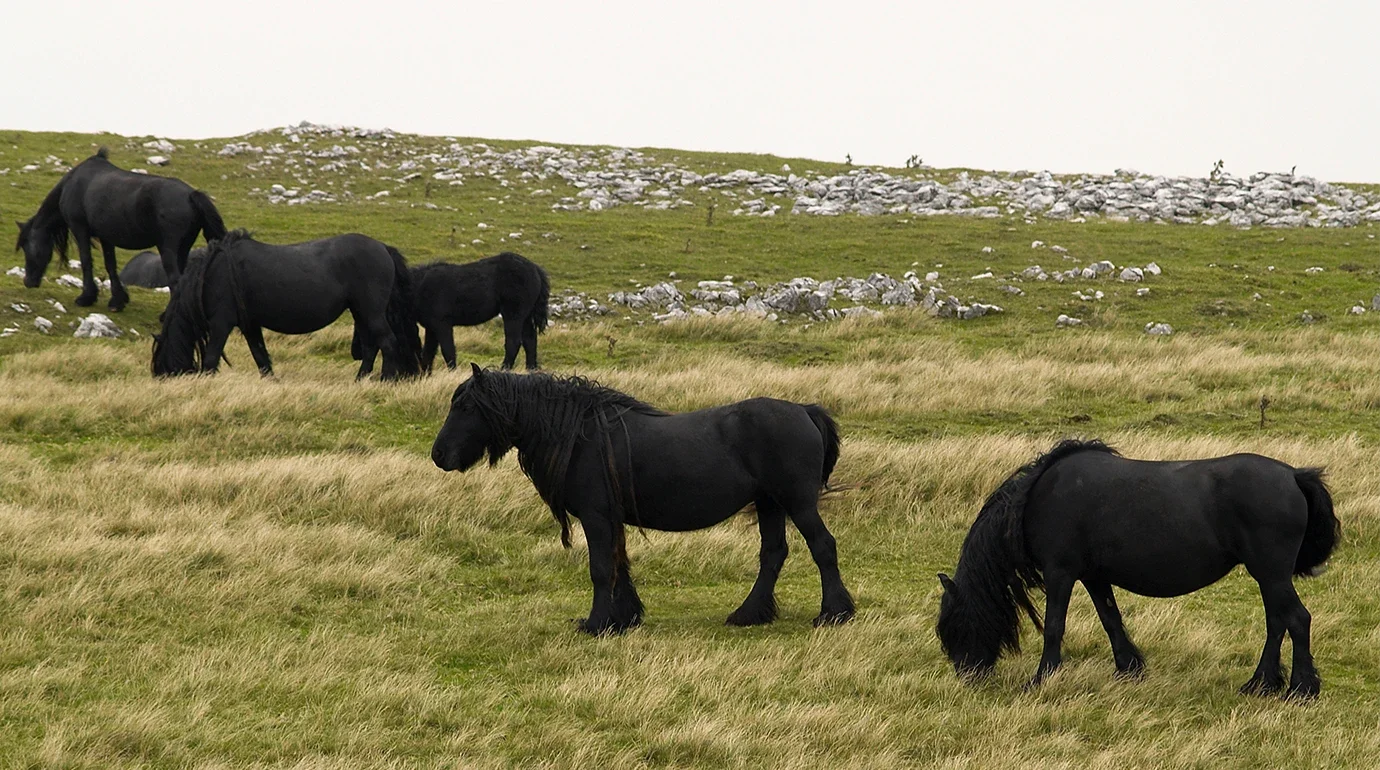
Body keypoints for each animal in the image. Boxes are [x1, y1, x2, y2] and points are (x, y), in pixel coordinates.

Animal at [15, 147, 226, 310]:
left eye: (27, 246)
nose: (28, 282)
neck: (73, 184)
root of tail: (191, 195)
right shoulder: (106, 237)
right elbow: (111, 265)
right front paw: (117, 300)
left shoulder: (80, 229)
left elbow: (86, 260)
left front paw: (86, 297)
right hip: (183, 248)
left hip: (168, 249)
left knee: (174, 280)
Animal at [152, 230, 422, 380]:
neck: (211, 274)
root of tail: (383, 248)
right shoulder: (249, 324)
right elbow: (261, 357)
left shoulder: (221, 323)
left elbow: (211, 359)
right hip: (361, 313)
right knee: (370, 347)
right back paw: (360, 381)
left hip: (371, 312)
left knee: (387, 343)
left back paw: (385, 380)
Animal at [406, 253, 550, 371]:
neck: (420, 288)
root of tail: (535, 269)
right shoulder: (431, 328)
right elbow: (428, 353)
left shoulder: (442, 324)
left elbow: (448, 350)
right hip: (525, 316)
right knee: (530, 340)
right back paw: (531, 369)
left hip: (513, 315)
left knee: (513, 342)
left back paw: (504, 369)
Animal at [431, 365, 855, 635]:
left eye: (466, 407)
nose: (438, 455)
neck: (581, 436)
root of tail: (804, 410)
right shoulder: (610, 518)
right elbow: (620, 565)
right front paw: (624, 618)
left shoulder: (596, 516)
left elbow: (601, 568)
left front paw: (596, 624)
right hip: (769, 504)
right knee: (772, 555)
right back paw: (749, 614)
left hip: (797, 503)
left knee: (823, 547)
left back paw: (834, 614)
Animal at [936, 439, 1339, 699]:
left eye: (955, 624)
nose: (968, 676)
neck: (1038, 496)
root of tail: (1294, 475)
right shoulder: (1093, 576)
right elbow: (1111, 620)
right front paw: (1129, 669)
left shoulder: (1060, 572)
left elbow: (1053, 627)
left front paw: (1041, 679)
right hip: (1269, 577)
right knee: (1277, 623)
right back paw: (1261, 684)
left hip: (1270, 574)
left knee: (1296, 619)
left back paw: (1301, 689)